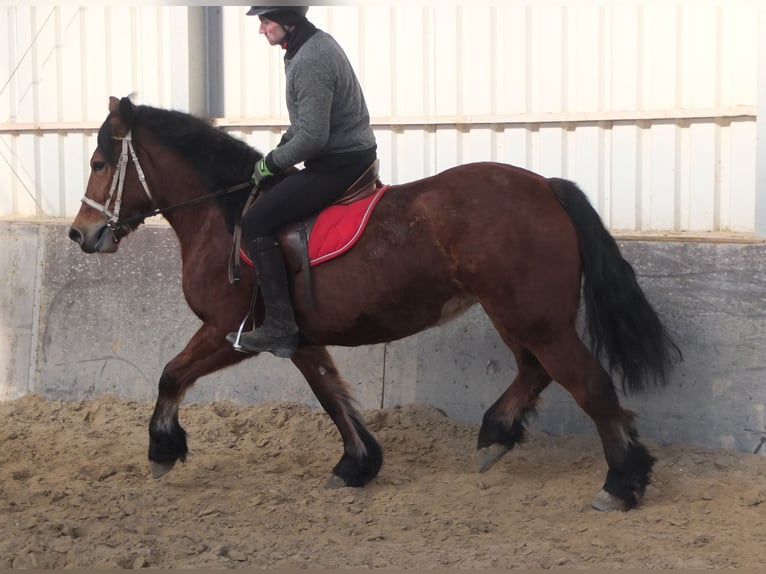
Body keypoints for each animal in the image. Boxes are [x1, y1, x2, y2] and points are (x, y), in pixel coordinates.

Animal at [67, 95, 680, 512]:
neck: (227, 215)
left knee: (588, 385)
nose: (81, 234)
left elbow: (170, 375)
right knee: (535, 372)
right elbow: (332, 397)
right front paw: (357, 465)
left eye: (99, 162)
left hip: (535, 318)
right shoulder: (300, 341)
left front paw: (162, 450)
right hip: (516, 314)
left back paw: (621, 484)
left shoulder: (228, 332)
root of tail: (546, 186)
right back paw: (496, 436)